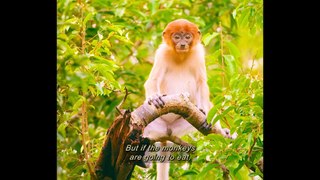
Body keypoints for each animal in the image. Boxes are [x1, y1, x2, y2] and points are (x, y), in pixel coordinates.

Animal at [142, 19, 232, 180]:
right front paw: (154, 97)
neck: (180, 56)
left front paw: (205, 114)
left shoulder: (198, 54)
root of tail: (167, 131)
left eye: (188, 37)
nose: (183, 44)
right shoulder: (162, 53)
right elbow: (152, 81)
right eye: (177, 37)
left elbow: (201, 83)